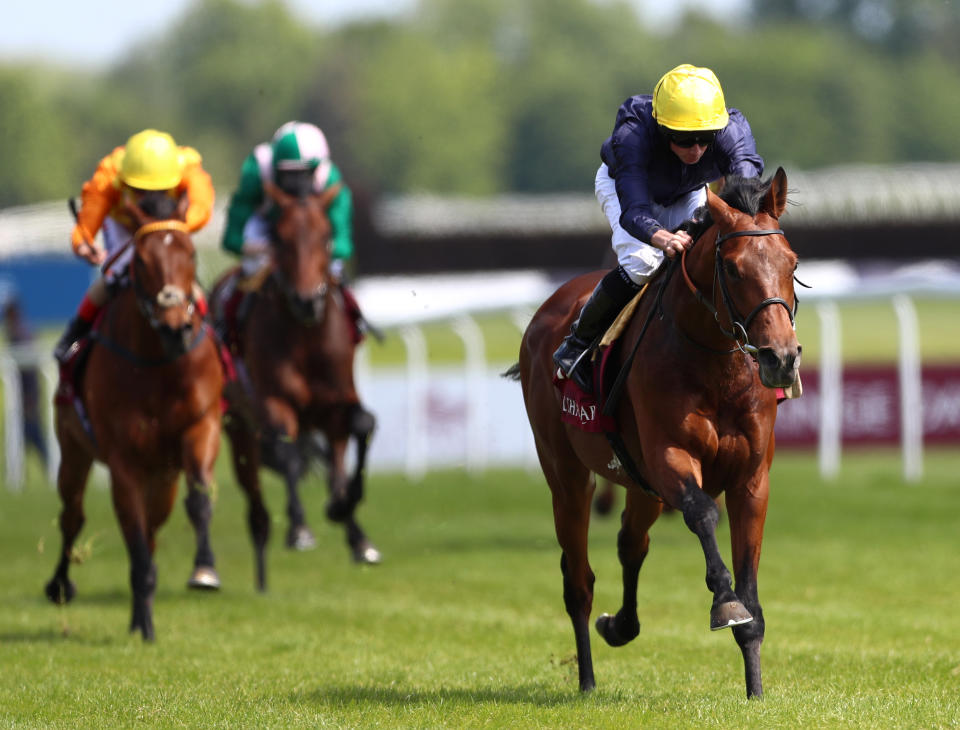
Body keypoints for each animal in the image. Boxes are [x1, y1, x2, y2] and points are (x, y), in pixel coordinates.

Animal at [47, 198, 225, 636]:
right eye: (142, 261)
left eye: (191, 253)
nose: (176, 326)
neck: (160, 363)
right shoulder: (123, 460)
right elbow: (134, 537)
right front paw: (144, 624)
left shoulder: (200, 427)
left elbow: (198, 499)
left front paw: (204, 571)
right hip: (74, 451)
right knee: (73, 515)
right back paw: (60, 585)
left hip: (162, 476)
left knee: (153, 526)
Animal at [214, 181, 378, 592]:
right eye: (280, 238)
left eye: (326, 235)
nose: (306, 301)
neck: (307, 337)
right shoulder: (275, 402)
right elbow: (287, 454)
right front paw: (300, 529)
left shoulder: (338, 402)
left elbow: (362, 426)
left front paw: (343, 508)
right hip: (238, 421)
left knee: (335, 459)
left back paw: (356, 534)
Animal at [512, 168, 800, 696]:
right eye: (733, 269)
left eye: (791, 262)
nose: (781, 358)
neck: (714, 365)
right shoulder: (670, 456)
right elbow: (704, 513)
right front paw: (724, 602)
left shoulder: (751, 479)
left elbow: (751, 596)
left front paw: (755, 689)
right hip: (567, 474)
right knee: (578, 580)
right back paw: (587, 680)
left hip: (638, 481)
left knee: (632, 542)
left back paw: (620, 625)